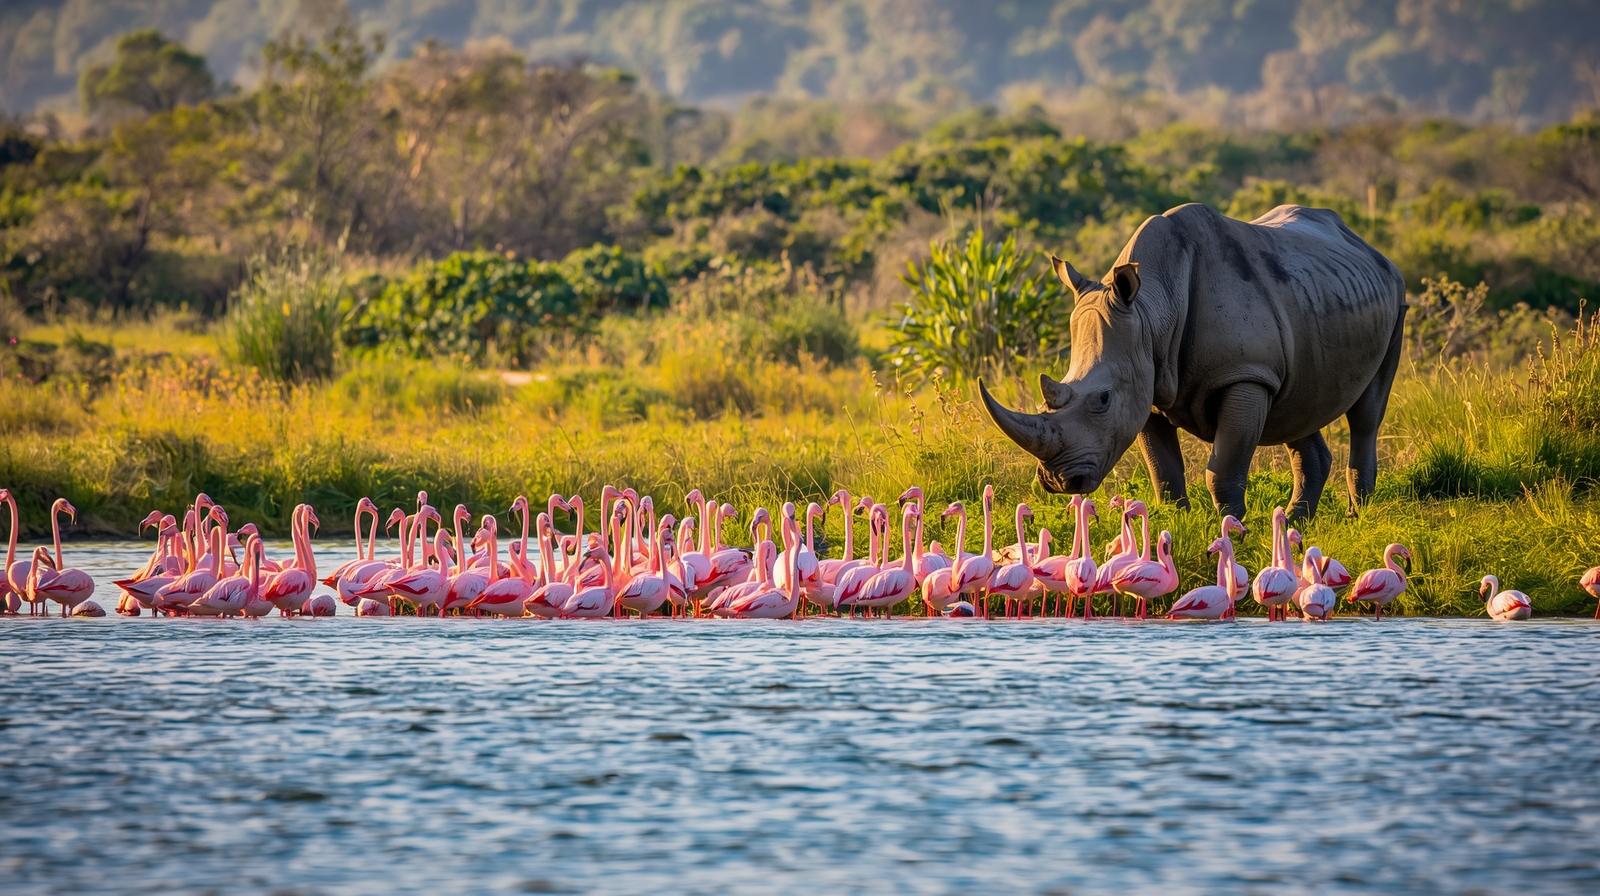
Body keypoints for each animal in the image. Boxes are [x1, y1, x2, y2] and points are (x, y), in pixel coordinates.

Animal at [979, 203, 1405, 520]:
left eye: (1102, 399)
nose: (1057, 482)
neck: (1151, 309)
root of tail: (1371, 250)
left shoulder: (1245, 375)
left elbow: (1224, 468)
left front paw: (1232, 531)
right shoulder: (1148, 382)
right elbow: (1164, 472)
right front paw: (1176, 525)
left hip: (1396, 301)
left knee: (1366, 414)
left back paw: (1357, 517)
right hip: (1313, 301)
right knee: (1297, 407)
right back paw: (1296, 521)